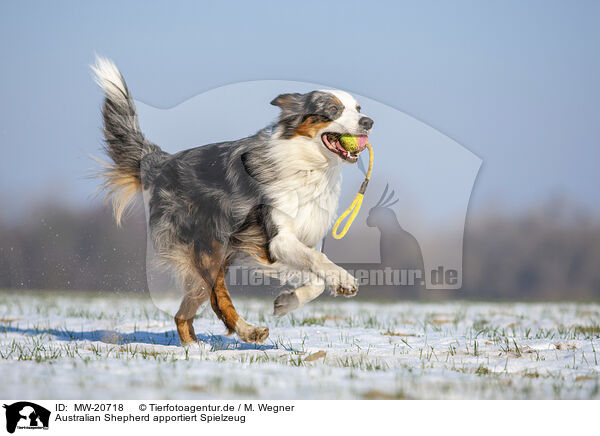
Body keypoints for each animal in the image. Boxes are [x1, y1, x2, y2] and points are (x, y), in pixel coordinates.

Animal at [91, 57, 372, 344]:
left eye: (358, 108)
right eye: (333, 109)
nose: (369, 121)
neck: (309, 166)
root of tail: (161, 162)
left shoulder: (296, 240)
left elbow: (314, 278)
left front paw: (286, 302)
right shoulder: (276, 237)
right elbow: (318, 260)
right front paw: (344, 279)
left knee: (183, 313)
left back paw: (195, 347)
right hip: (207, 247)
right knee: (217, 298)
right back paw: (248, 331)